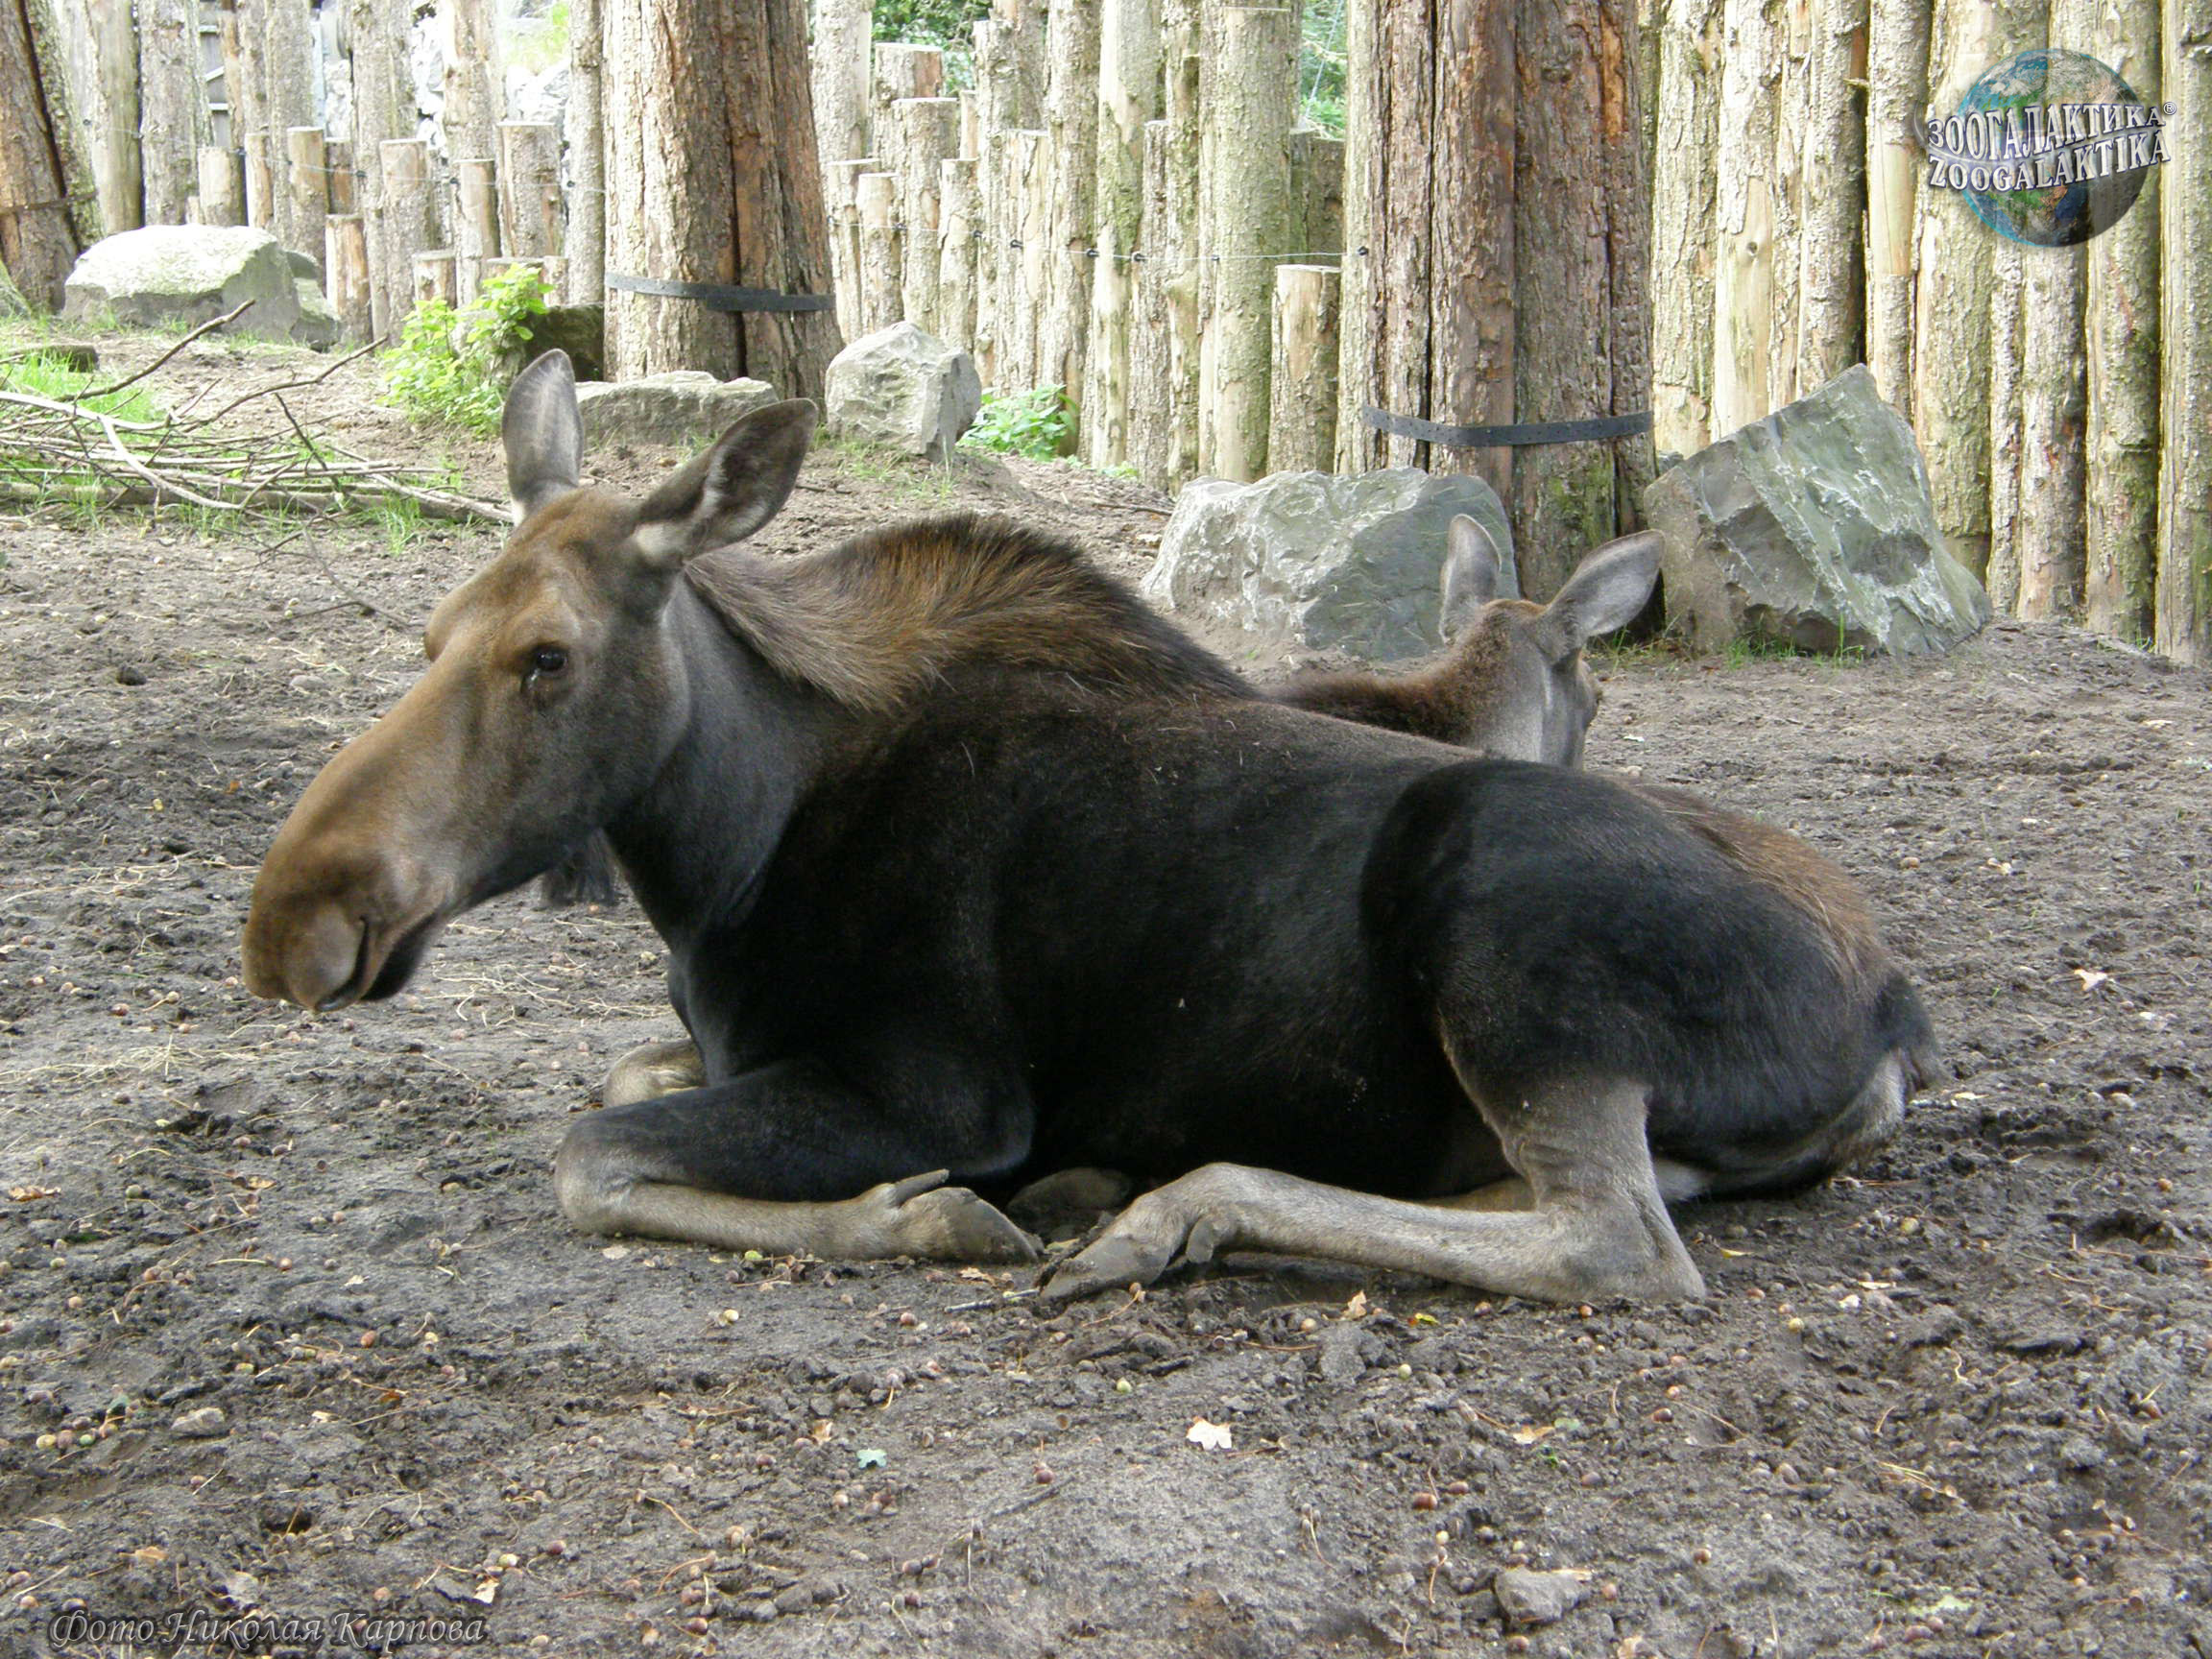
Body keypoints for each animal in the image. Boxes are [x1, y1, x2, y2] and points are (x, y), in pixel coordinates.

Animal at [243, 350, 1935, 1304]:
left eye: (548, 658)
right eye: (429, 634)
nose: (295, 923)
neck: (725, 858)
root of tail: (1896, 1021)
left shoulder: (934, 1087)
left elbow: (589, 1152)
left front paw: (930, 1221)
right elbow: (614, 1078)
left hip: (1511, 946)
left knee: (1619, 1247)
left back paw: (1160, 1213)